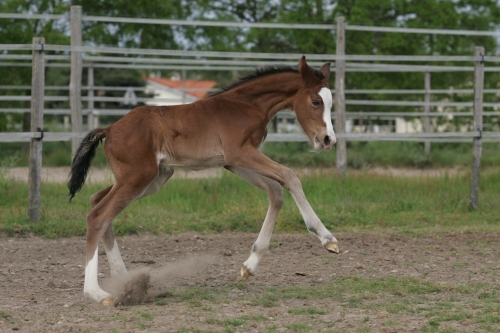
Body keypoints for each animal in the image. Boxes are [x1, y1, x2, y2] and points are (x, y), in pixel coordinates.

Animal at [67, 55, 340, 304]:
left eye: (330, 103)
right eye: (315, 101)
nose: (329, 139)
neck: (247, 104)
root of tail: (110, 129)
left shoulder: (233, 161)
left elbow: (275, 190)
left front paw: (249, 266)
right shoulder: (239, 152)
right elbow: (289, 176)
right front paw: (327, 238)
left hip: (151, 178)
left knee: (96, 200)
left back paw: (126, 280)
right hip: (138, 177)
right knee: (98, 215)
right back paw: (97, 293)